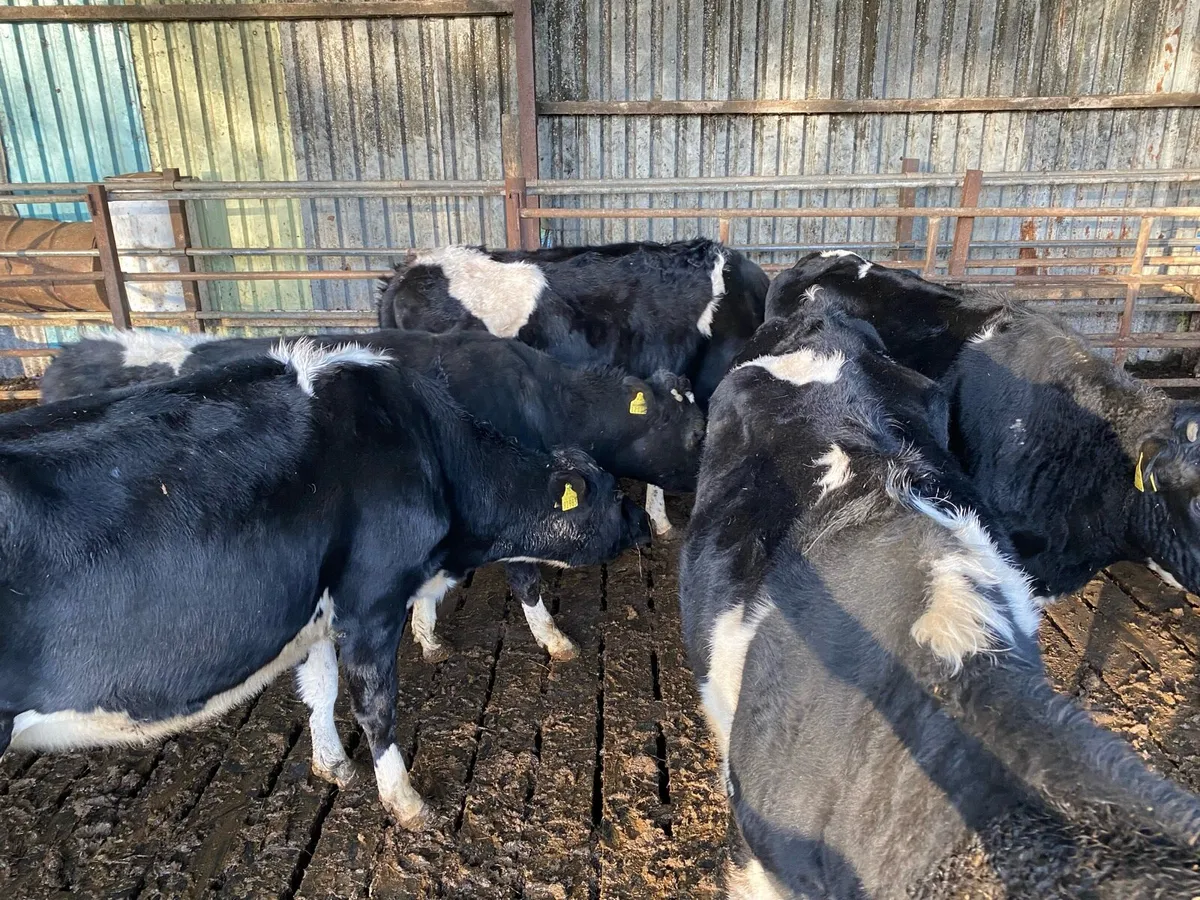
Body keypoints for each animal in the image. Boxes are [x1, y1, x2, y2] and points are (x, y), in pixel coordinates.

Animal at [0, 340, 650, 828]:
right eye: (611, 495)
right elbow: (374, 706)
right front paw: (405, 801)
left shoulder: (320, 612)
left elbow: (321, 688)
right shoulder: (371, 603)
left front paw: (332, 765)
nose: (643, 523)